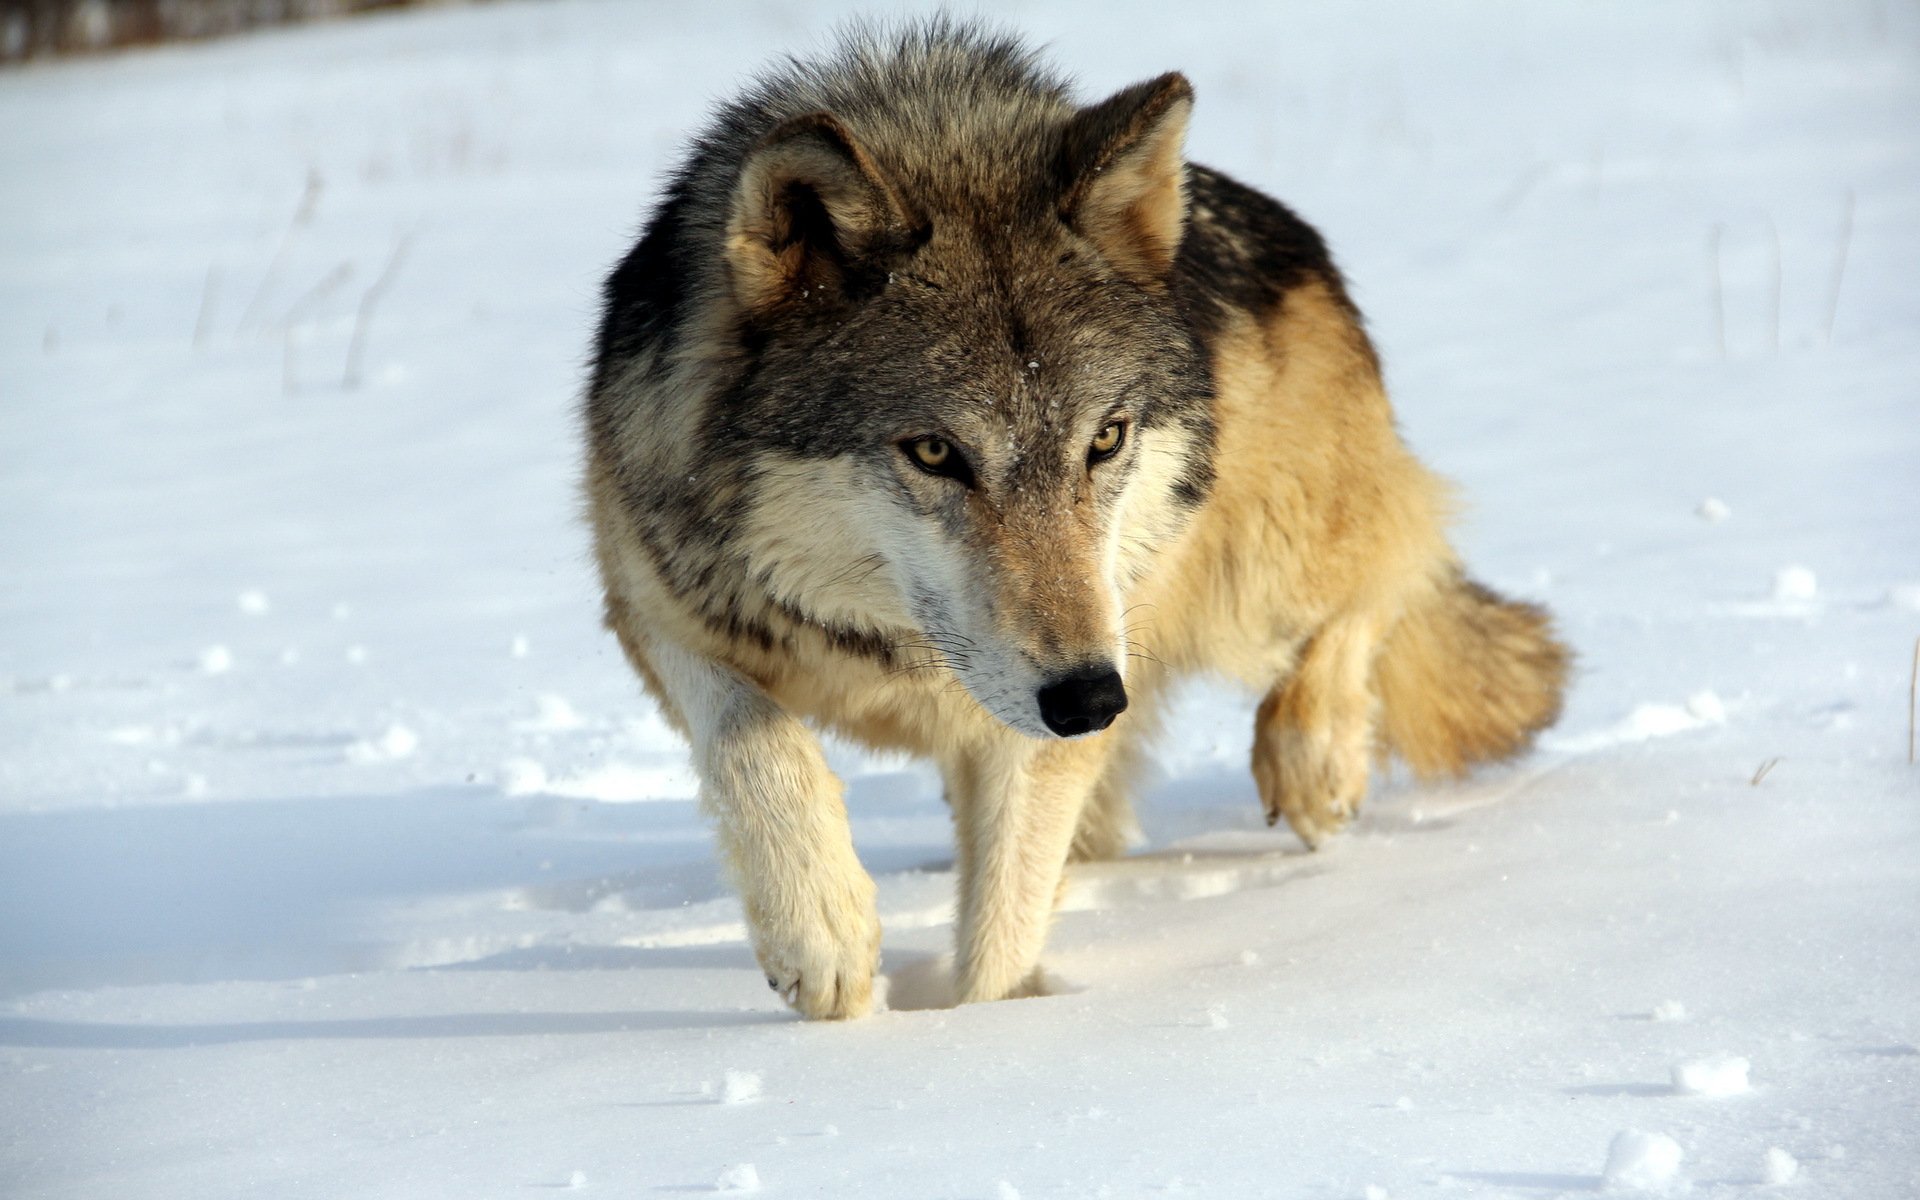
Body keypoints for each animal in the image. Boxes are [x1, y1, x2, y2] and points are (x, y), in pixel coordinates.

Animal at [582, 20, 1568, 1019]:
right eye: (934, 452)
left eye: (1105, 437)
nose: (1091, 698)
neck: (895, 656)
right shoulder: (658, 603)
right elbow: (752, 742)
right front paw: (822, 936)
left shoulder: (1053, 708)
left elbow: (1002, 929)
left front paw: (993, 1030)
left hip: (1244, 580)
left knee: (1392, 567)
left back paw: (1316, 763)